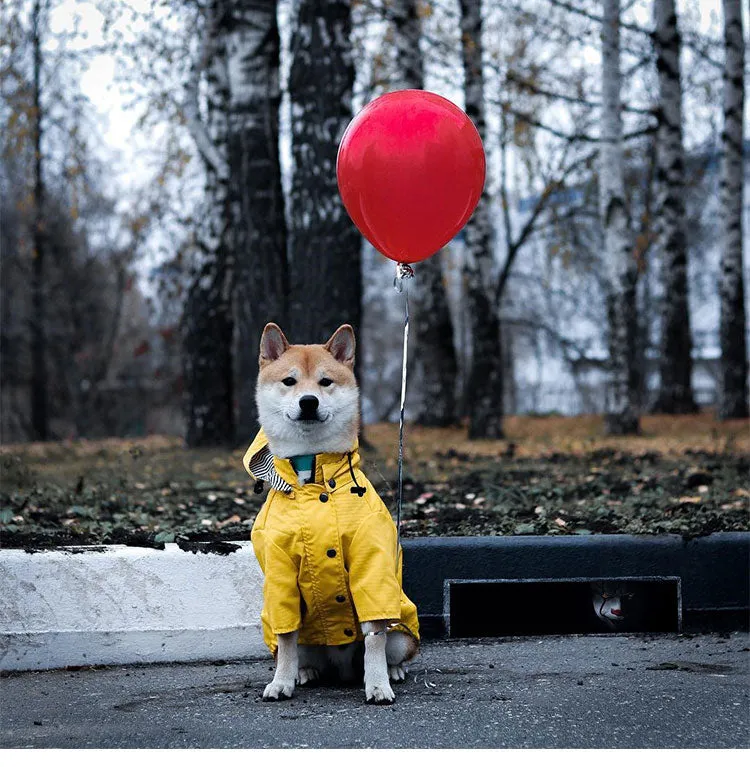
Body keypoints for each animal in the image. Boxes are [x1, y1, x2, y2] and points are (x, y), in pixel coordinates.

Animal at [247, 320, 424, 704]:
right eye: (290, 381)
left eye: (325, 382)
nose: (308, 401)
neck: (312, 475)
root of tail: (340, 669)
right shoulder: (280, 571)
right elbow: (286, 638)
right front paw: (281, 681)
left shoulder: (370, 564)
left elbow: (374, 637)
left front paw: (378, 684)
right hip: (308, 640)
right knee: (297, 650)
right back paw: (303, 673)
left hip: (401, 632)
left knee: (389, 646)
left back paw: (392, 671)